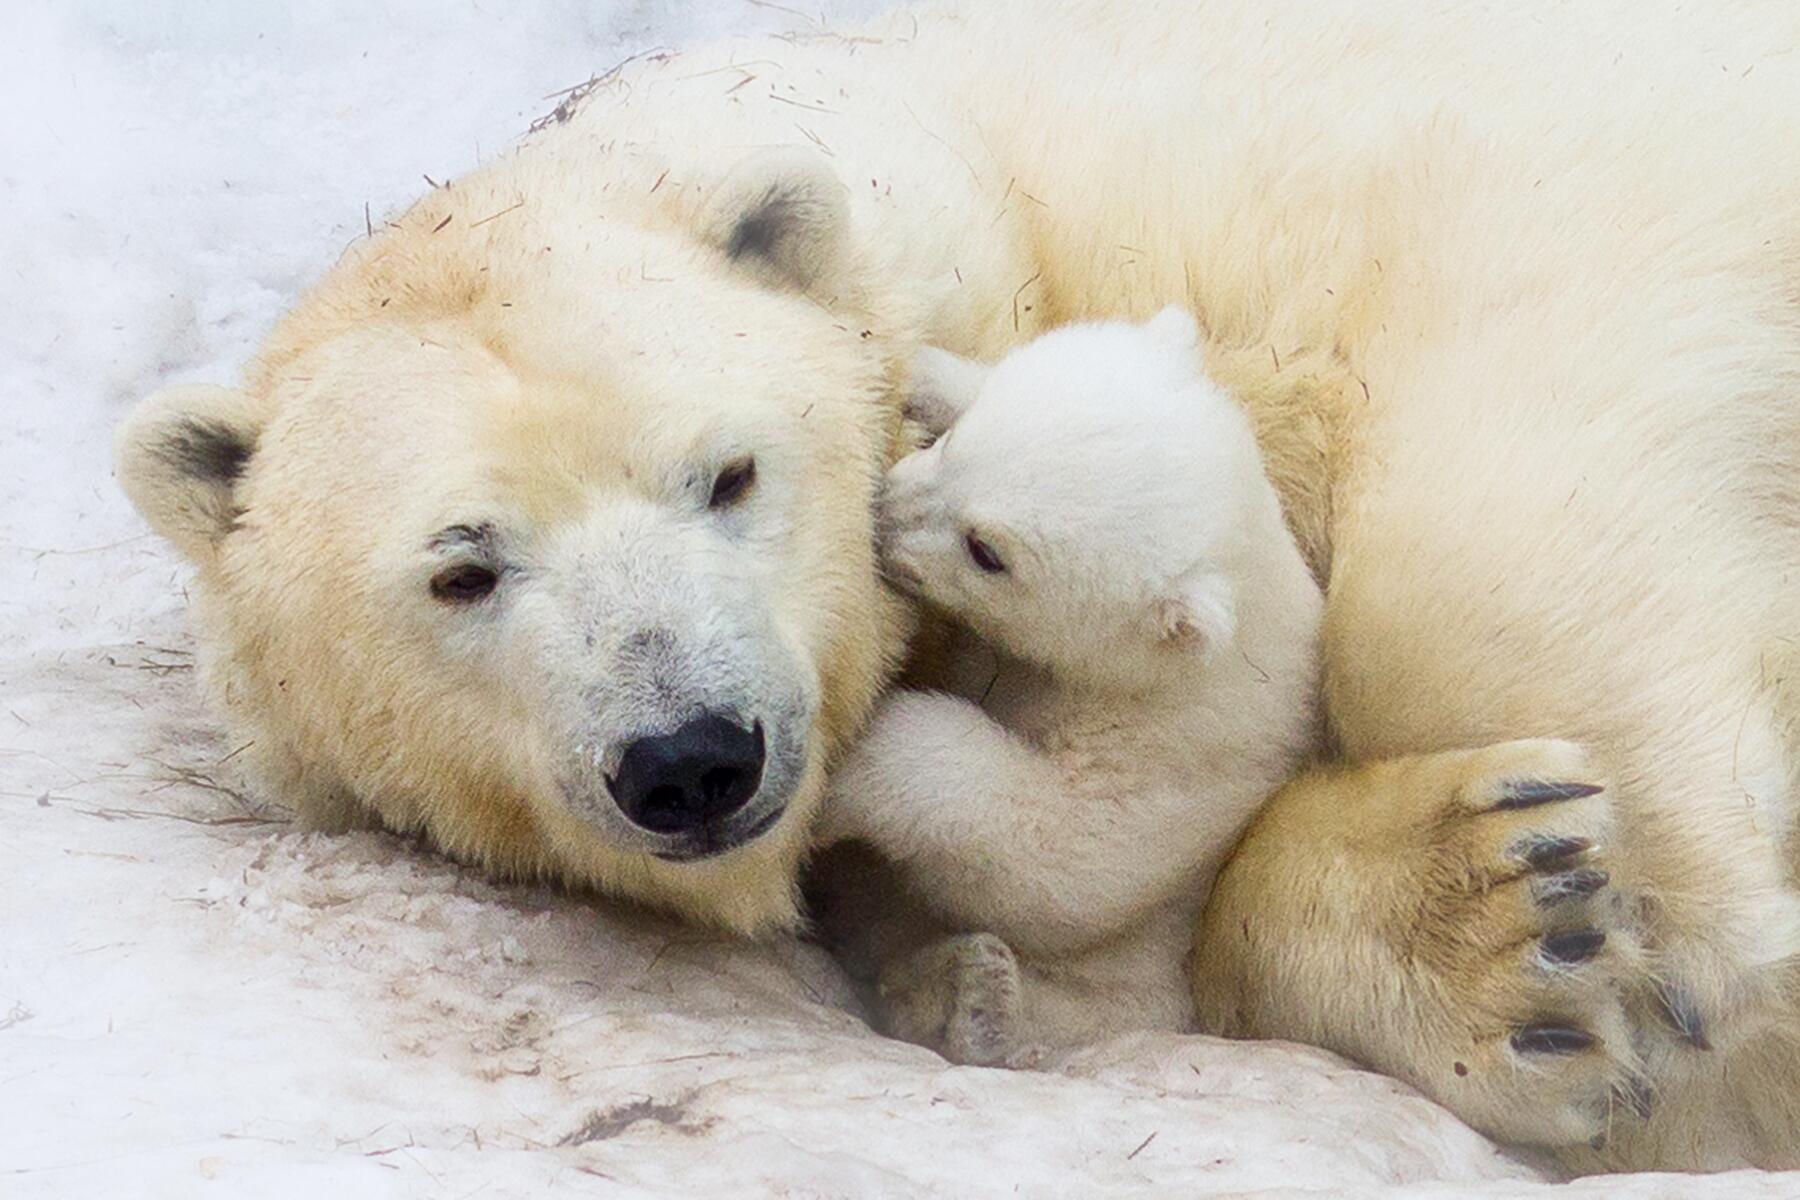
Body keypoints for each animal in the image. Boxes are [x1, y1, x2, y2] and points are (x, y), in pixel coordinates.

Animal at [116, 0, 1800, 1180]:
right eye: (462, 568)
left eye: (728, 474)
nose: (689, 757)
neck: (997, 180)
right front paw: (1509, 934)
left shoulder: (1396, 155)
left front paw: (1675, 940)